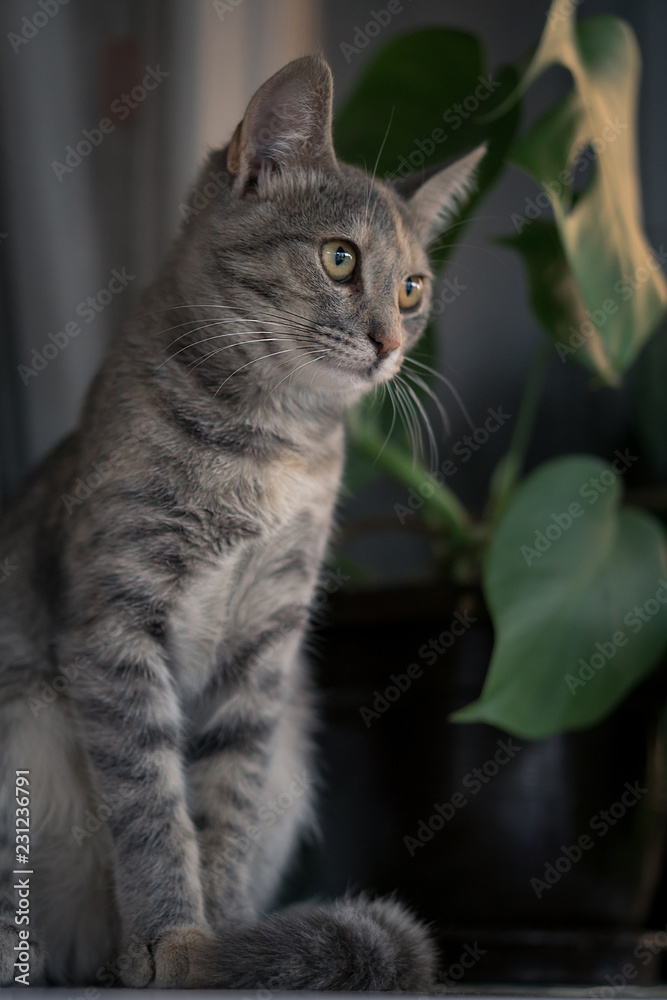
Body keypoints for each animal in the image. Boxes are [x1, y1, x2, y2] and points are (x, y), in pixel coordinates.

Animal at [0, 56, 482, 992]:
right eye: (339, 258)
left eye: (412, 288)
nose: (388, 341)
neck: (269, 448)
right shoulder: (116, 623)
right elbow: (151, 803)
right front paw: (172, 938)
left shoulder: (266, 649)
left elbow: (226, 800)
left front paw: (222, 941)